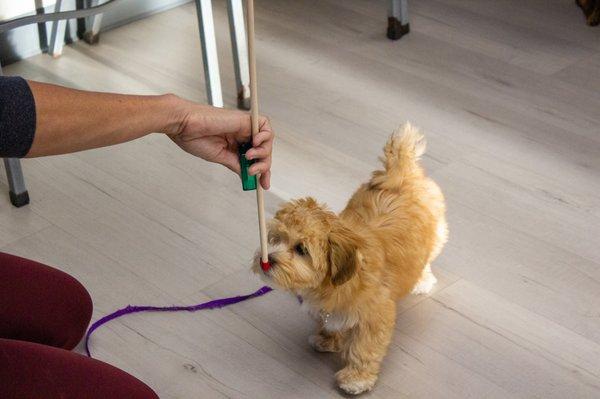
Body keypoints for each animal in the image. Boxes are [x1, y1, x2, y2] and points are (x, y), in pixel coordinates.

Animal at [252, 123, 446, 396]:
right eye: (275, 239)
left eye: (301, 249)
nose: (266, 259)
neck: (332, 283)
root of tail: (403, 173)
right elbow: (332, 323)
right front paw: (327, 339)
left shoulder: (375, 315)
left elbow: (365, 348)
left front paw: (356, 379)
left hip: (436, 235)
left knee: (427, 257)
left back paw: (422, 280)